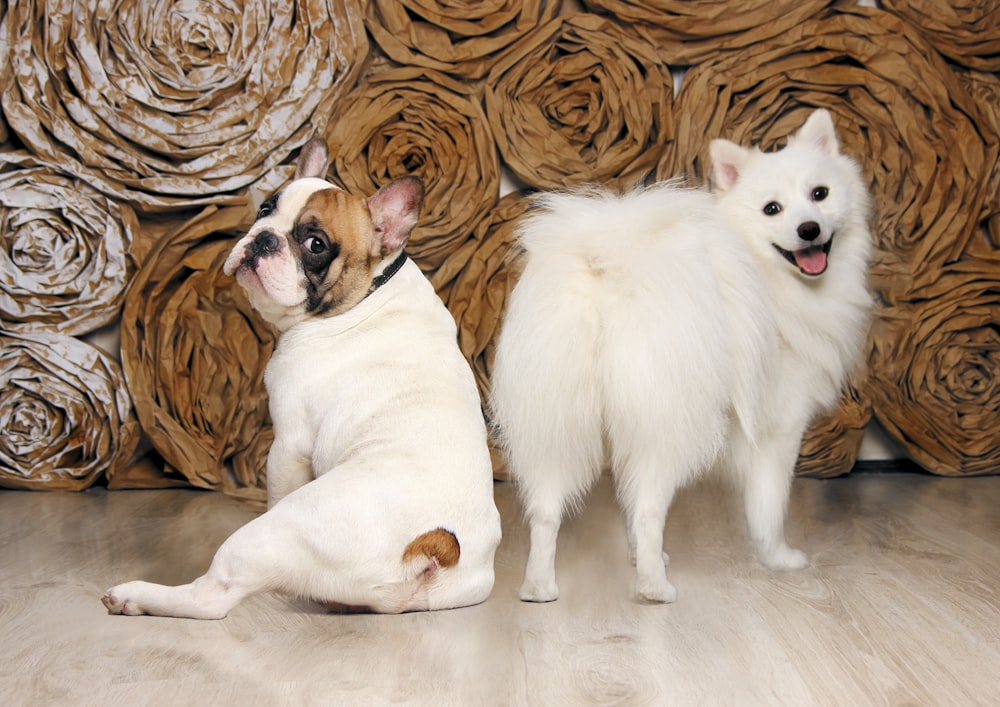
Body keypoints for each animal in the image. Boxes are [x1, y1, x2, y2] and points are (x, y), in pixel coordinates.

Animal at [103, 138, 500, 620]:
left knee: (212, 598)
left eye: (315, 244)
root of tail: (434, 546)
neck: (369, 291)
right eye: (264, 210)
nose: (264, 239)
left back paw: (136, 596)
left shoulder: (289, 445)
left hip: (276, 529)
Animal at [496, 109, 872, 604]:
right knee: (650, 509)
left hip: (555, 421)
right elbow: (769, 507)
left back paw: (540, 586)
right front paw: (779, 559)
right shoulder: (779, 429)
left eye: (820, 194)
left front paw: (639, 555)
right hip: (669, 423)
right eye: (772, 209)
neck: (765, 271)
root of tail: (610, 263)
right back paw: (655, 589)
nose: (808, 229)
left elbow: (626, 504)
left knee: (544, 511)